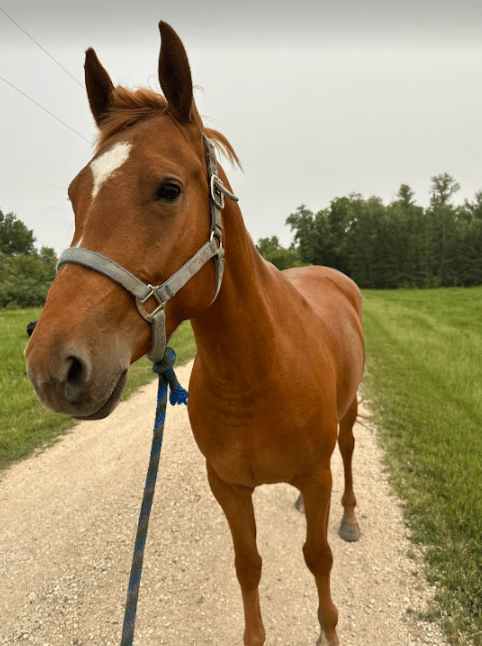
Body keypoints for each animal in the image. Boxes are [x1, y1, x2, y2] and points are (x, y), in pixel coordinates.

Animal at [25, 21, 364, 646]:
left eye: (168, 188)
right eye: (74, 194)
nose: (51, 367)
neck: (259, 373)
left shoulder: (315, 474)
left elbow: (319, 560)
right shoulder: (227, 487)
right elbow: (248, 565)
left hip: (349, 414)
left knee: (349, 454)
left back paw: (350, 517)